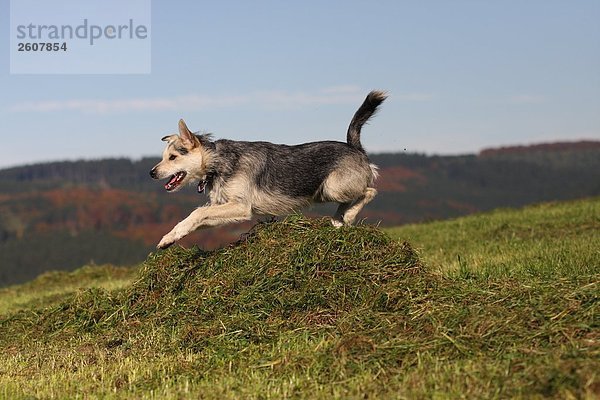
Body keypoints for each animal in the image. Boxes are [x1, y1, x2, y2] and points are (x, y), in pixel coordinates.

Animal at [148, 90, 386, 248]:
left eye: (173, 157)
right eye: (163, 157)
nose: (151, 173)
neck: (217, 162)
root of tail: (355, 148)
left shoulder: (241, 206)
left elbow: (198, 212)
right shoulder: (227, 209)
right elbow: (195, 219)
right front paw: (170, 237)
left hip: (333, 187)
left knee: (370, 191)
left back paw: (349, 215)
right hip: (326, 192)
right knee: (352, 199)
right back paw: (338, 220)